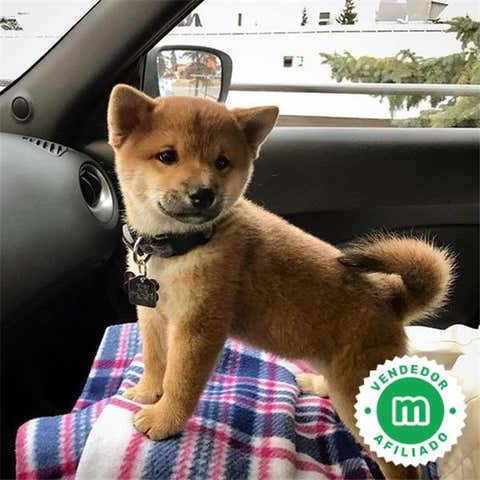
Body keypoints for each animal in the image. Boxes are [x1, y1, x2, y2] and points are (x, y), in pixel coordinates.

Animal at [108, 84, 454, 479]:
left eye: (222, 162)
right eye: (167, 156)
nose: (204, 193)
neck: (184, 245)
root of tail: (391, 297)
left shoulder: (198, 328)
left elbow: (179, 380)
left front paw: (165, 419)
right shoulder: (152, 315)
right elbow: (155, 360)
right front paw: (147, 391)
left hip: (356, 385)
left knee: (401, 464)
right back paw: (318, 385)